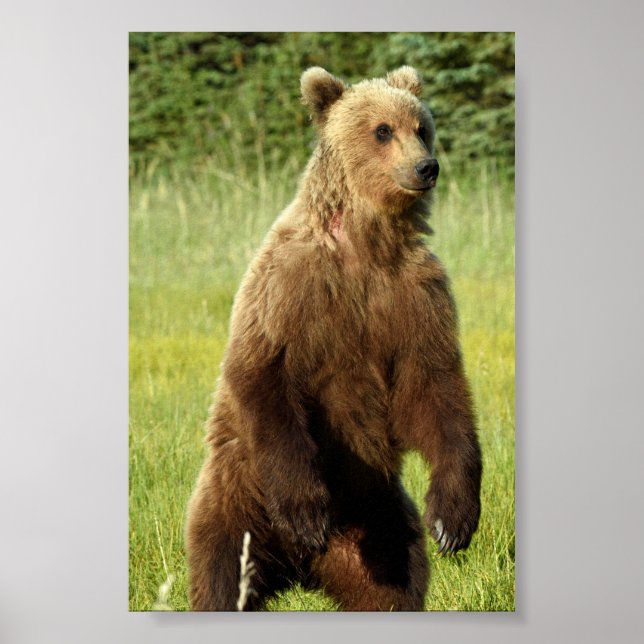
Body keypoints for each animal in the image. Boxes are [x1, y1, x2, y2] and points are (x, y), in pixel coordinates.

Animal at [185, 66, 482, 611]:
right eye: (382, 130)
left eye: (422, 127)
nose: (426, 167)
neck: (369, 242)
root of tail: (297, 569)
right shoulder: (291, 287)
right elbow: (264, 372)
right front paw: (306, 514)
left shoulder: (414, 296)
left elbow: (434, 387)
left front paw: (452, 520)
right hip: (236, 500)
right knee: (221, 574)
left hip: (378, 518)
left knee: (394, 583)